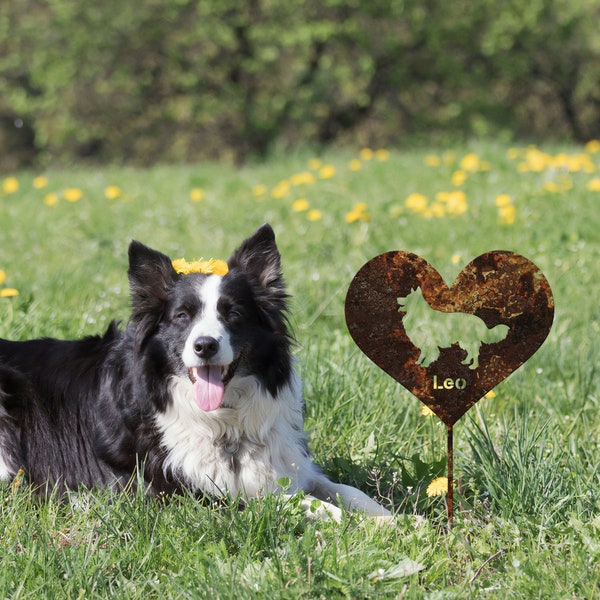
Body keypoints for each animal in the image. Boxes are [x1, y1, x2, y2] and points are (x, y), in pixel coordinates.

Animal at [0, 227, 390, 516]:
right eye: (182, 316)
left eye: (233, 314)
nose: (205, 346)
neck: (225, 423)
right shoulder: (195, 492)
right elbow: (303, 502)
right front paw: (351, 524)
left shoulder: (290, 462)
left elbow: (345, 489)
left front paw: (391, 520)